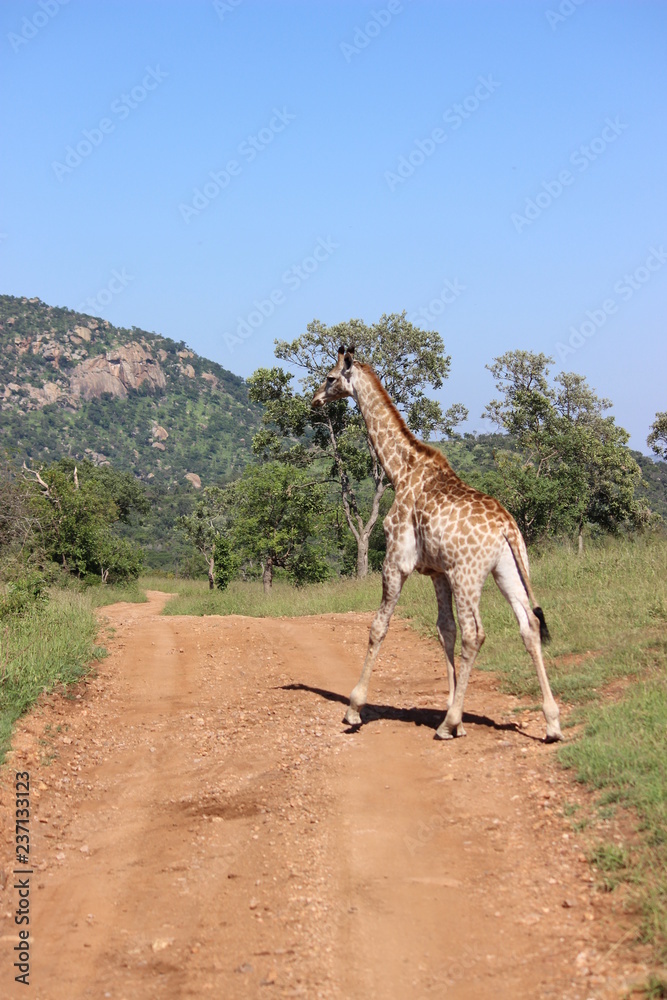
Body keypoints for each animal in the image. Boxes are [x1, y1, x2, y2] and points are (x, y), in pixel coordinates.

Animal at [311, 346, 563, 743]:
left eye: (330, 377)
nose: (314, 401)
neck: (401, 470)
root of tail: (507, 528)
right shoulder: (437, 572)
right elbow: (445, 630)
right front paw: (451, 709)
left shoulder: (397, 560)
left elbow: (378, 626)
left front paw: (353, 709)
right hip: (508, 570)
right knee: (529, 627)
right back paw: (551, 723)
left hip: (468, 574)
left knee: (476, 633)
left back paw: (448, 725)